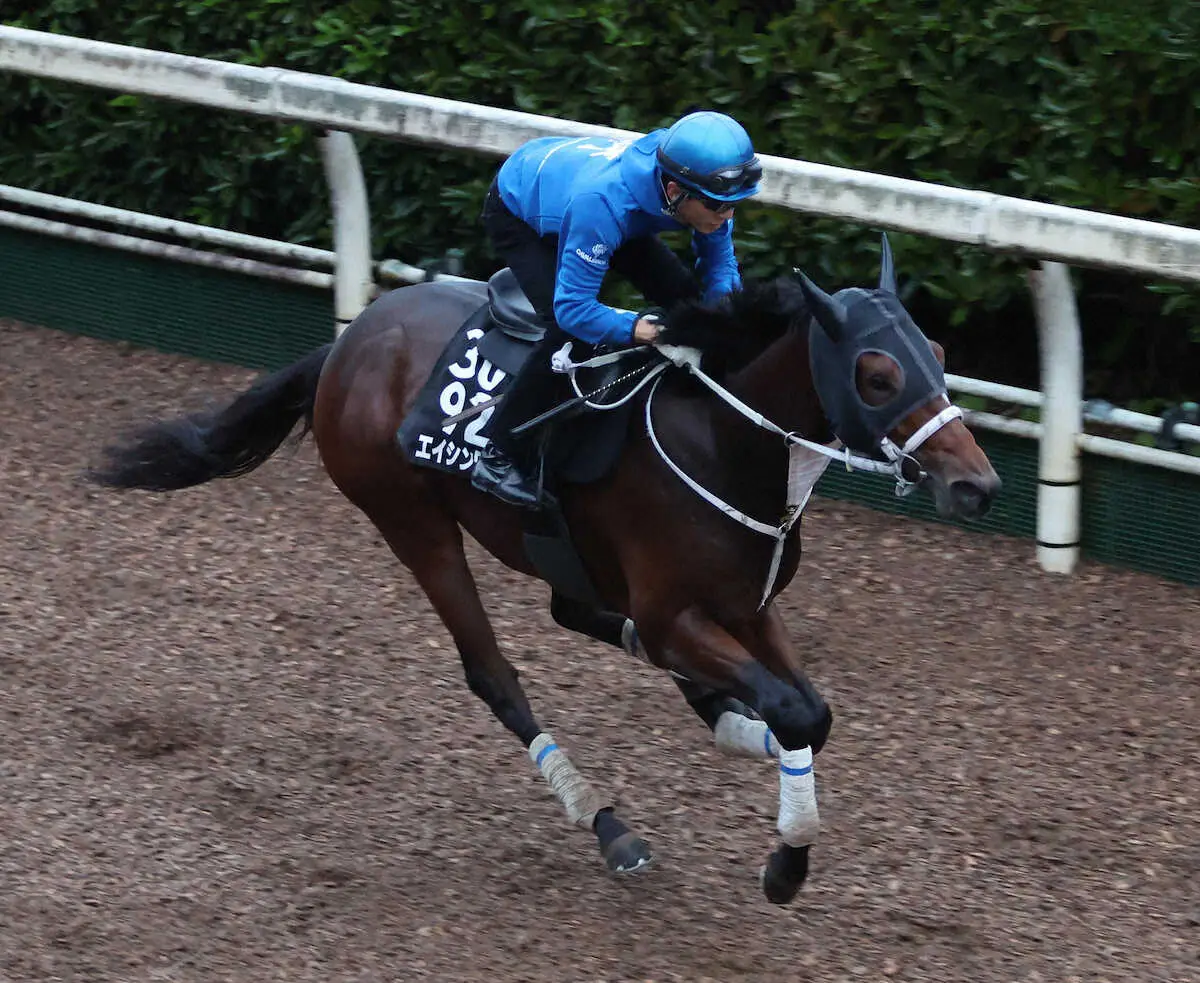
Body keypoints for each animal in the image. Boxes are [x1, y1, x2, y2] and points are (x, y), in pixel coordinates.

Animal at [88, 238, 998, 907]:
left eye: (939, 351)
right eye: (877, 374)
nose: (978, 485)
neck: (724, 440)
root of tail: (348, 340)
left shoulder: (748, 603)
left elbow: (810, 709)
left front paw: (760, 768)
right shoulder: (678, 611)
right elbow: (793, 711)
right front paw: (784, 862)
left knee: (579, 613)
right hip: (412, 522)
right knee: (494, 673)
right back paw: (606, 821)